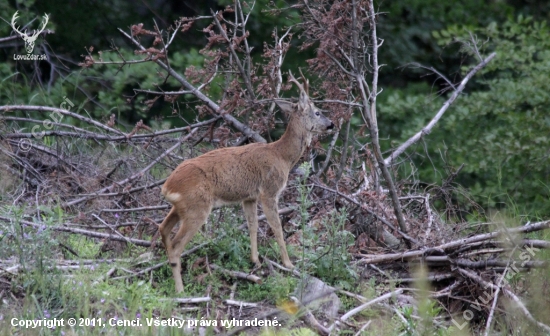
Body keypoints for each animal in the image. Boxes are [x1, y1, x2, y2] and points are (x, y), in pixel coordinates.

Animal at [157, 73, 334, 292]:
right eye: (317, 112)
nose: (331, 124)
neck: (282, 156)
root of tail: (167, 187)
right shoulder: (269, 191)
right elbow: (276, 227)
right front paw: (288, 263)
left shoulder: (249, 197)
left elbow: (252, 225)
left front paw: (255, 260)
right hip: (196, 207)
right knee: (175, 246)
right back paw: (181, 290)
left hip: (181, 207)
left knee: (163, 229)